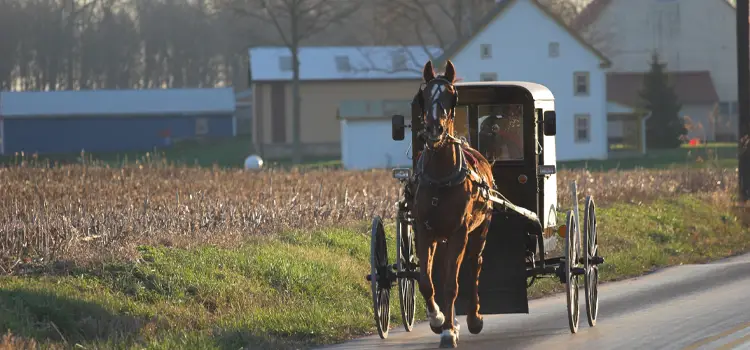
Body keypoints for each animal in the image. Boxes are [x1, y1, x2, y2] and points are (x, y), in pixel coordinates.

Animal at [412, 60, 500, 348]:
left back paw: (472, 318)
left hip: (480, 230)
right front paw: (437, 318)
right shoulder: (424, 229)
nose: (434, 130)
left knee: (474, 266)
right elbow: (426, 281)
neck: (440, 176)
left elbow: (452, 285)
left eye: (452, 95)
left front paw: (449, 331)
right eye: (424, 95)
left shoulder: (459, 232)